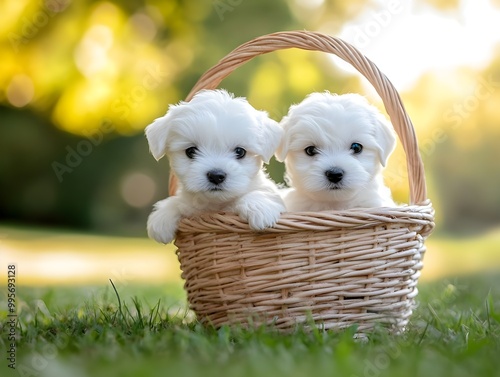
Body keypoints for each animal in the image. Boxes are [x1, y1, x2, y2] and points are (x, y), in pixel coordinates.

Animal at [145, 89, 286, 245]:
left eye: (240, 151)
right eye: (191, 151)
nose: (216, 176)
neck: (217, 205)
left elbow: (258, 192)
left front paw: (260, 207)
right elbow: (179, 202)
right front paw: (162, 216)